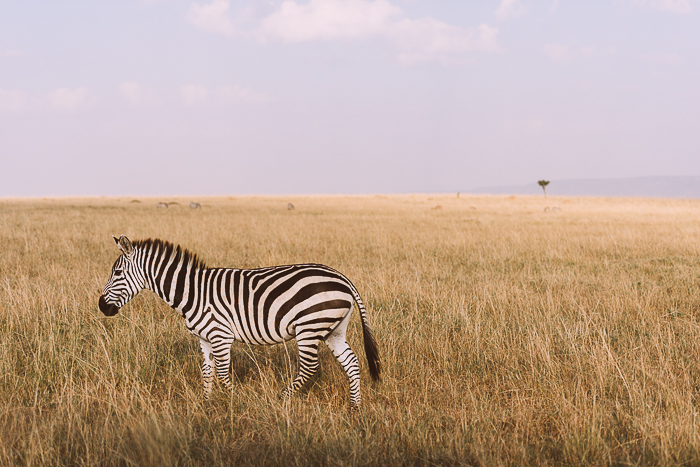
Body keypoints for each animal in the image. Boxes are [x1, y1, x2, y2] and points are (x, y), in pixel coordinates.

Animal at [98, 236, 380, 408]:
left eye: (118, 272)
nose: (101, 306)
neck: (192, 292)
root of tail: (342, 278)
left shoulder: (220, 335)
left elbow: (223, 373)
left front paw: (235, 401)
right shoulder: (204, 338)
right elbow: (207, 371)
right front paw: (206, 403)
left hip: (309, 327)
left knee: (310, 367)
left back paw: (282, 398)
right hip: (334, 329)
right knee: (351, 362)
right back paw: (355, 407)